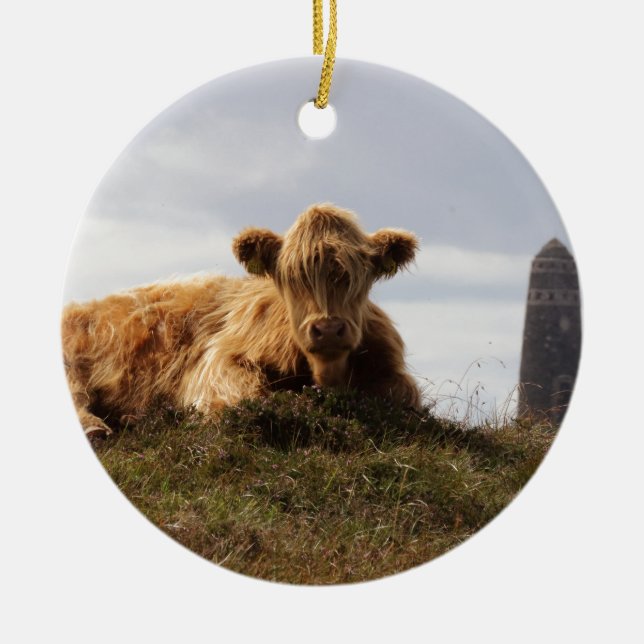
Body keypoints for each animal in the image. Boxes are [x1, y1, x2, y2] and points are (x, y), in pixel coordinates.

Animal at [62, 204, 422, 440]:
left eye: (360, 274)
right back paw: (97, 428)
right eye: (292, 276)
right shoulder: (216, 363)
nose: (329, 329)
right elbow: (244, 396)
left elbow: (404, 395)